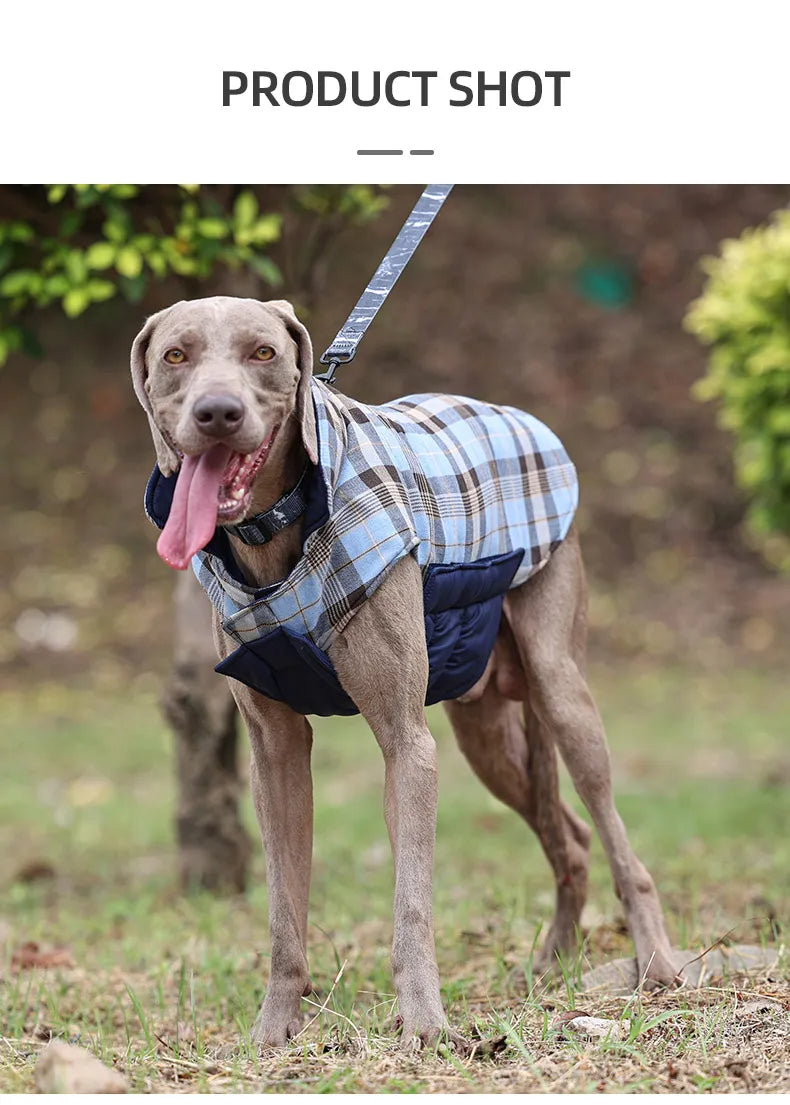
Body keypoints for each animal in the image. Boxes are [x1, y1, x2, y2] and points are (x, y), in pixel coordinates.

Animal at [131, 298, 680, 1047]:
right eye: (176, 356)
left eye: (263, 353)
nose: (218, 412)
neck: (279, 531)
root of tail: (523, 417)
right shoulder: (274, 753)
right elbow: (282, 912)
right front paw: (274, 1028)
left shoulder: (407, 743)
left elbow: (411, 903)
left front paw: (424, 1024)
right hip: (489, 736)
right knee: (569, 836)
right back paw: (554, 961)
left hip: (560, 685)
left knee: (615, 833)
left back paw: (657, 962)